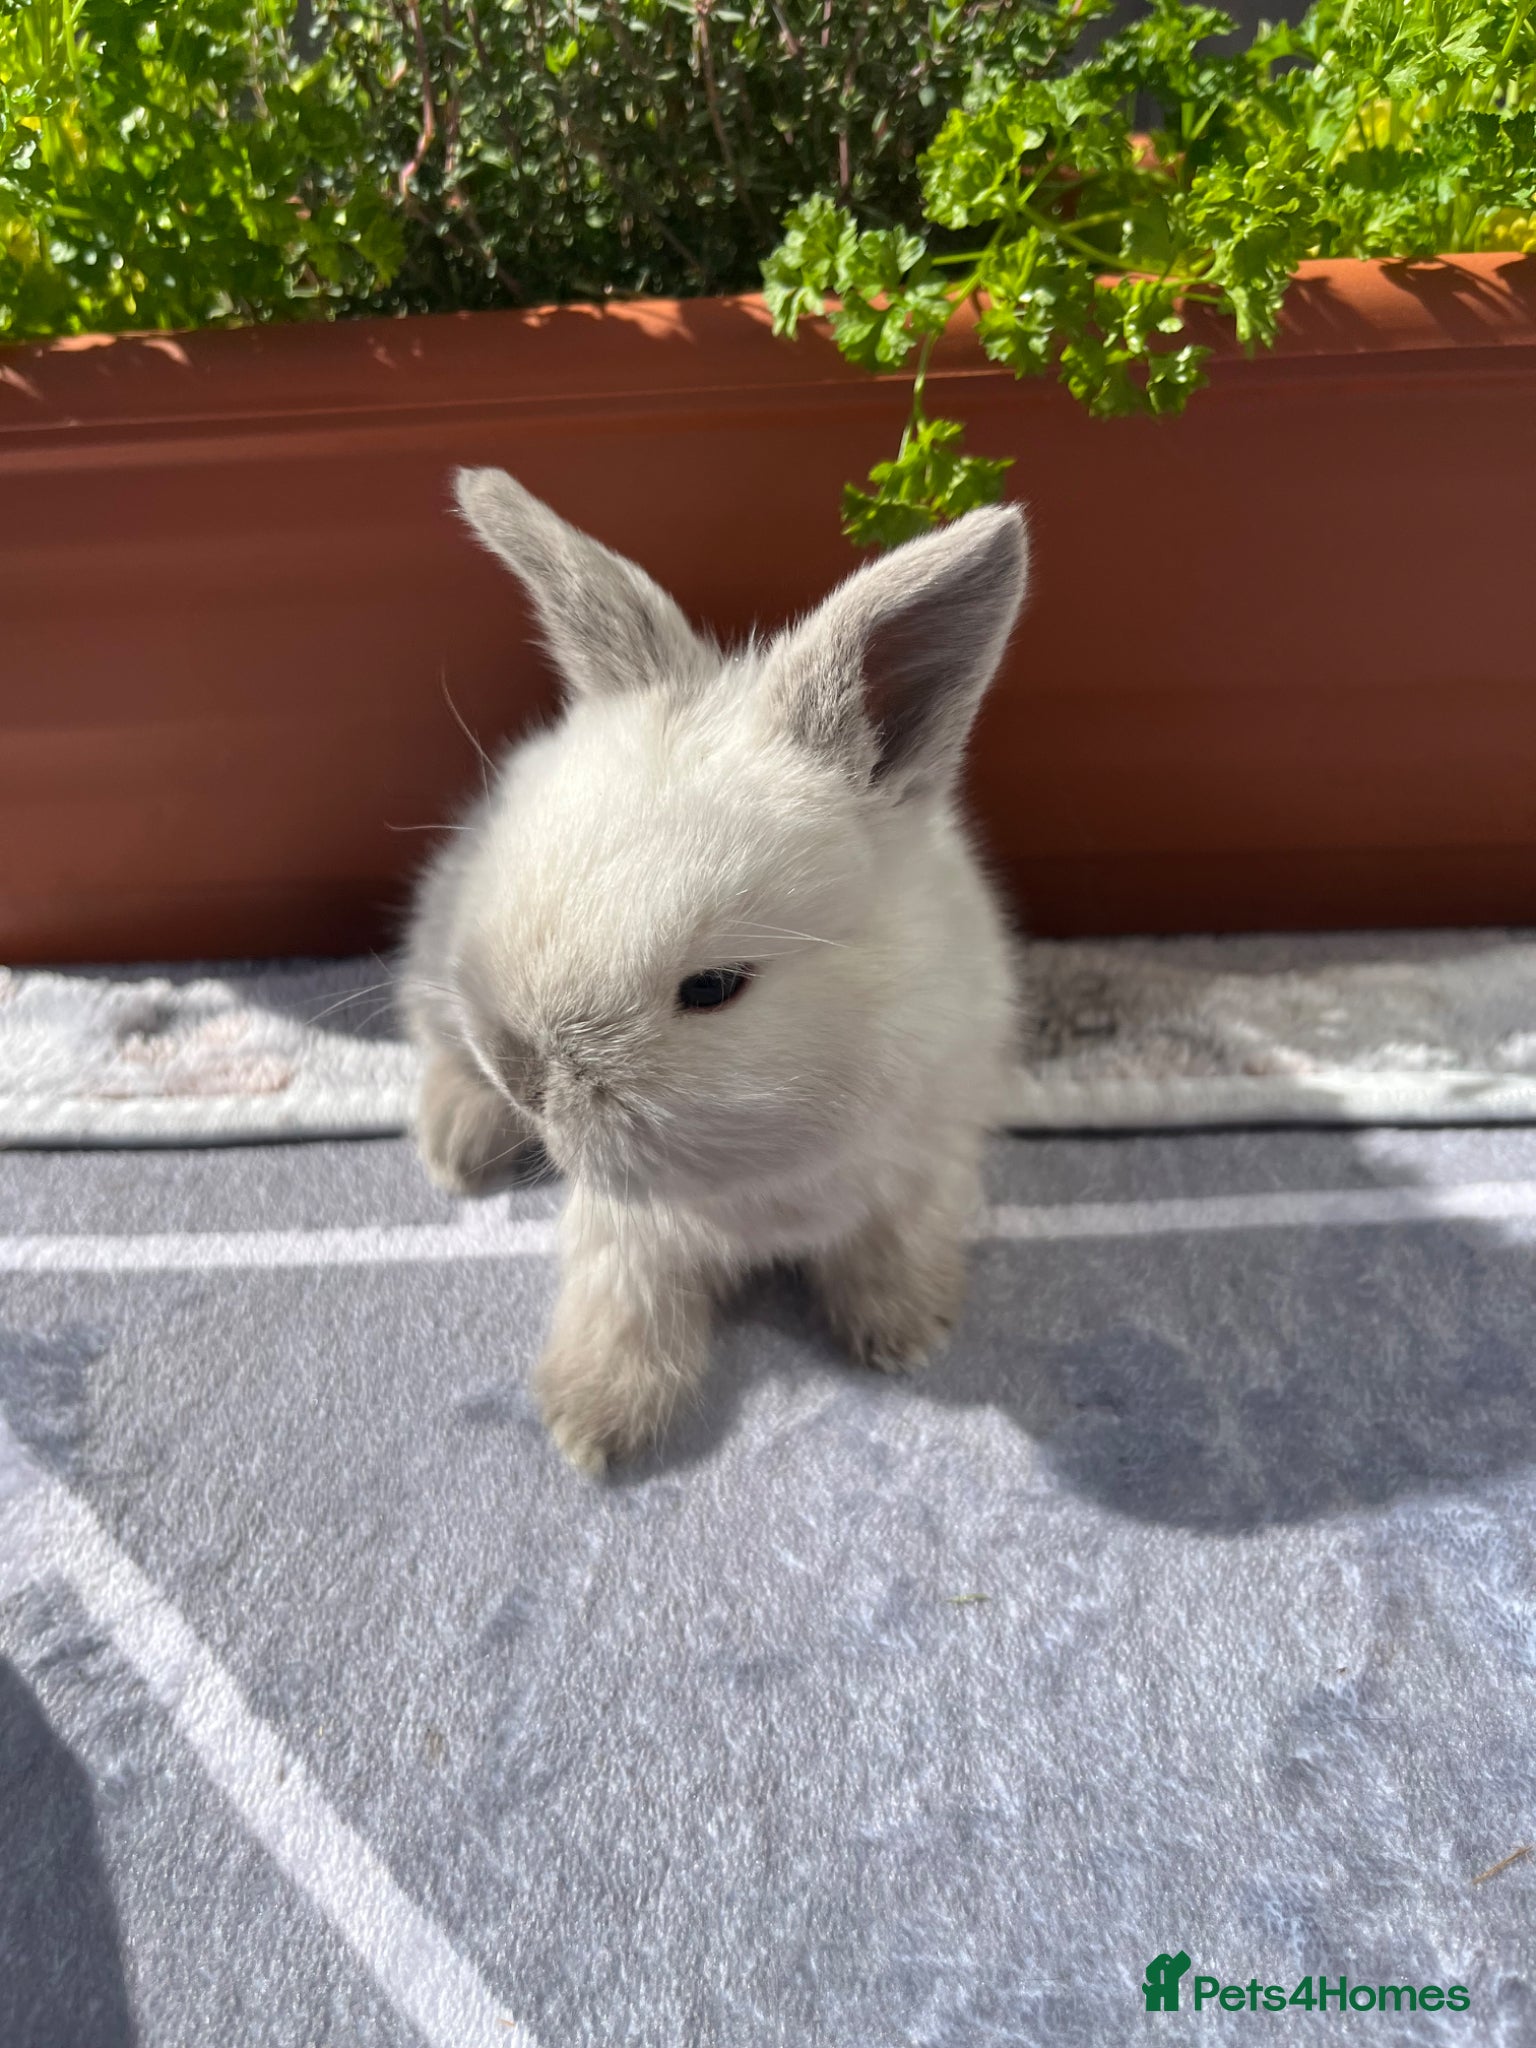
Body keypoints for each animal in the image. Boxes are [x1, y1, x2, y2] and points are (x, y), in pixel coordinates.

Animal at [399, 467, 1028, 1474]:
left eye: (713, 987)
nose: (529, 1079)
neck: (769, 1165)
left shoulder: (923, 1164)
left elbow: (894, 1248)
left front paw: (905, 1335)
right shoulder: (630, 1233)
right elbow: (625, 1303)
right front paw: (595, 1425)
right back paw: (459, 1149)